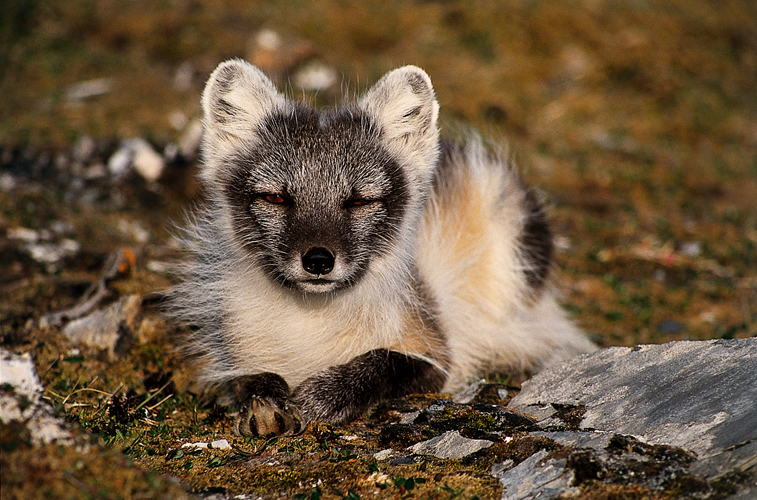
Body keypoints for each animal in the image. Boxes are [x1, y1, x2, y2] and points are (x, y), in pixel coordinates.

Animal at [171, 59, 596, 438]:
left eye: (360, 200)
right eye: (275, 198)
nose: (318, 260)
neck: (311, 322)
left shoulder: (435, 352)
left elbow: (382, 363)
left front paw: (319, 397)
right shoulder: (231, 349)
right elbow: (248, 378)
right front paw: (265, 402)